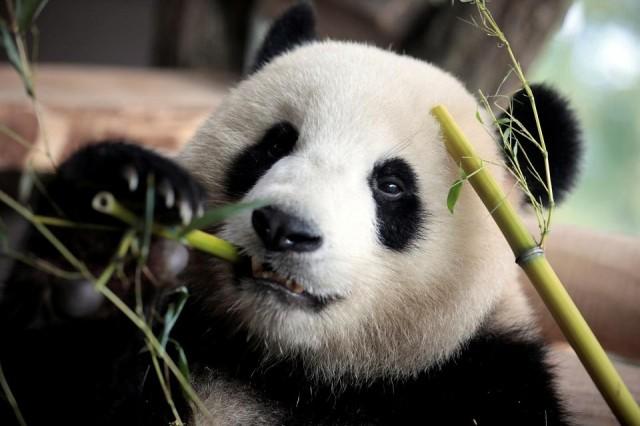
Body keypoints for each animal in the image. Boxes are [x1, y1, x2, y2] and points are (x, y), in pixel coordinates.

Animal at [0, 3, 581, 425]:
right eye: (276, 143)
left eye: (391, 186)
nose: (283, 228)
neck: (283, 368)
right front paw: (108, 236)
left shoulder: (481, 383)